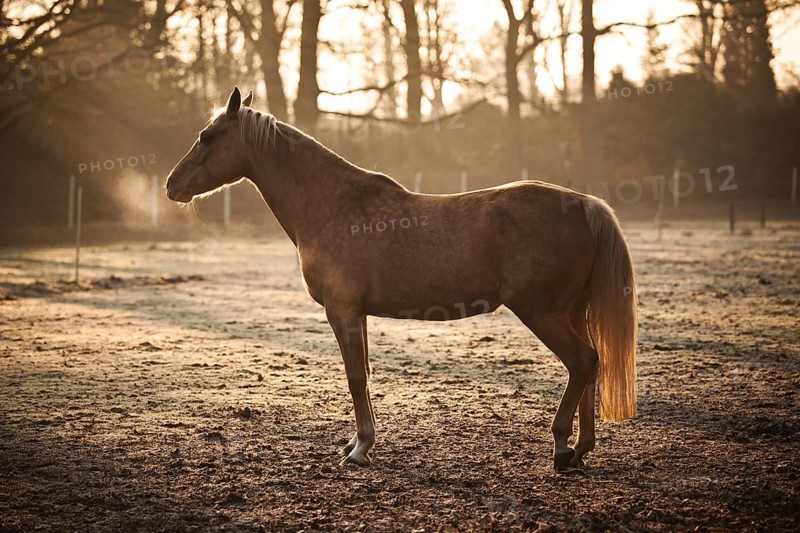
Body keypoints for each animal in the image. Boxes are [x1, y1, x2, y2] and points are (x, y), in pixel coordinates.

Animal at [166, 87, 638, 472]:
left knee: (582, 361)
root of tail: (584, 204)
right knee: (591, 364)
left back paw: (561, 448)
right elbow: (365, 374)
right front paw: (358, 443)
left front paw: (360, 449)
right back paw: (581, 449)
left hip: (541, 311)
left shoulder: (342, 311)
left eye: (208, 136)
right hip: (572, 310)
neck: (334, 205)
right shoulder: (358, 314)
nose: (172, 184)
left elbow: (355, 377)